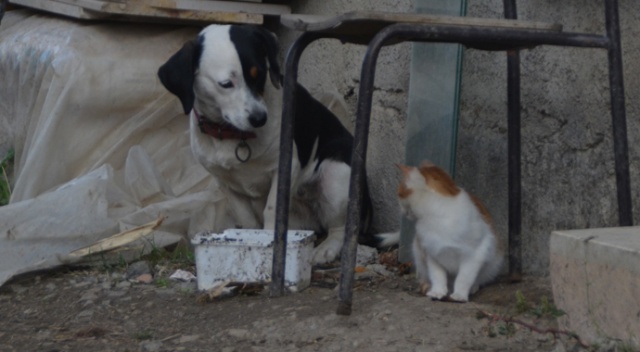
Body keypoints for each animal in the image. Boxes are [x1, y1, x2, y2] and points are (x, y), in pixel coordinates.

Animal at [157, 24, 372, 264]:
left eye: (259, 74)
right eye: (226, 84)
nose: (260, 119)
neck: (233, 134)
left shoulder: (286, 168)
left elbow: (272, 211)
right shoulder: (225, 182)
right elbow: (247, 219)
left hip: (336, 177)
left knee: (340, 228)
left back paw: (327, 249)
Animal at [392, 161, 502, 302]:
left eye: (399, 194)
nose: (401, 210)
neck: (438, 218)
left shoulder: (475, 254)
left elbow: (464, 277)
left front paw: (460, 295)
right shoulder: (431, 253)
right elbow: (437, 276)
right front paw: (437, 291)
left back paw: (473, 287)